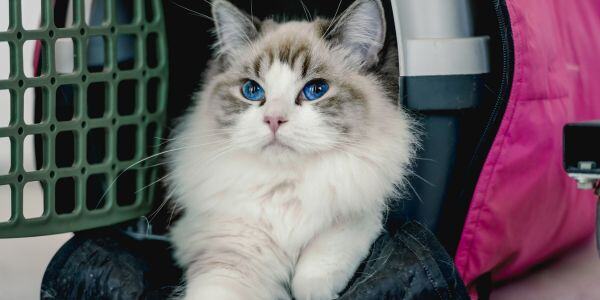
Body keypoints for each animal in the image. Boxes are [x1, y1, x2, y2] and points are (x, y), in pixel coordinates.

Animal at [166, 1, 414, 298]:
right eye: (251, 90)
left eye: (316, 89)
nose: (274, 120)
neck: (285, 185)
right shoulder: (230, 251)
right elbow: (219, 289)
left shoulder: (357, 216)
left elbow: (314, 272)